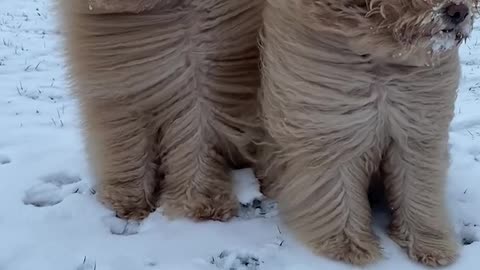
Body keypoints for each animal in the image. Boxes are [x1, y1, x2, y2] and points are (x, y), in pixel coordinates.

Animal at [58, 0, 264, 221]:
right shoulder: (122, 93)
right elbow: (130, 146)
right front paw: (129, 202)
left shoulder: (196, 84)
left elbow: (195, 140)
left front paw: (199, 204)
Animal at [258, 0, 476, 266]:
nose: (459, 11)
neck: (380, 51)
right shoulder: (335, 128)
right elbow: (338, 192)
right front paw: (348, 246)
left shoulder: (415, 130)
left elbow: (417, 188)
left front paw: (431, 245)